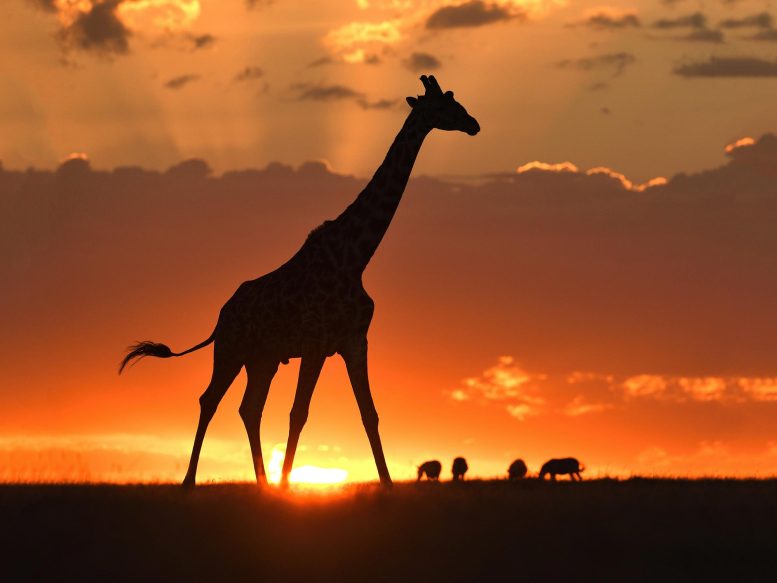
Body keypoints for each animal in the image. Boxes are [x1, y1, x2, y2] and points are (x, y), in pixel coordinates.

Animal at [119, 75, 480, 488]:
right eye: (442, 106)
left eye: (454, 100)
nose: (473, 124)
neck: (355, 257)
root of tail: (220, 316)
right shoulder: (315, 341)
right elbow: (299, 412)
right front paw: (287, 486)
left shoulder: (354, 340)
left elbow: (368, 414)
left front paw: (387, 486)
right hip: (231, 350)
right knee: (209, 400)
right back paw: (190, 482)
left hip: (263, 359)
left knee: (249, 408)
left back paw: (261, 484)